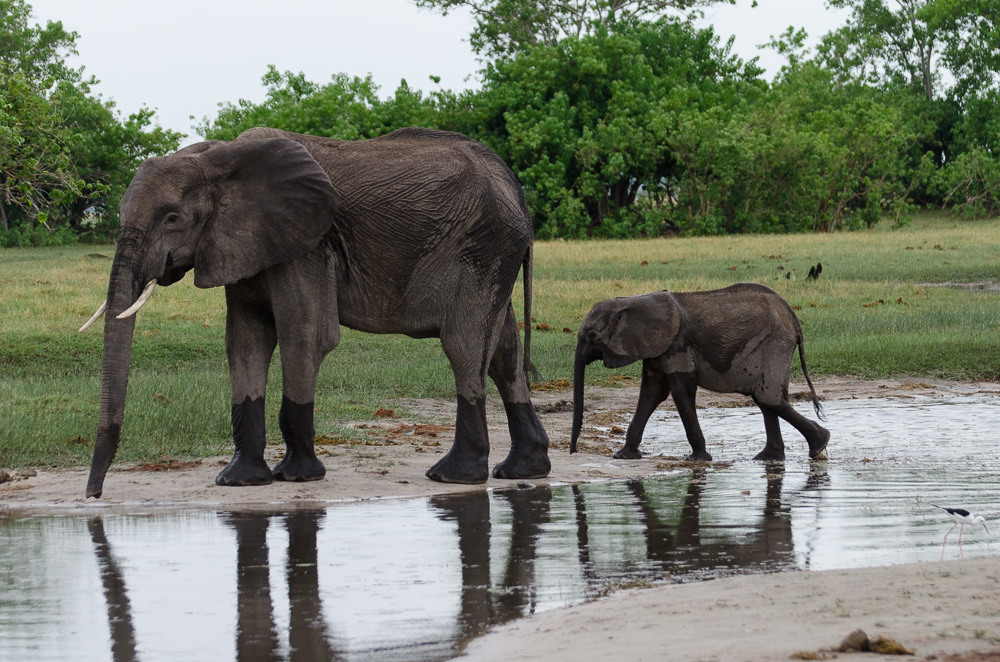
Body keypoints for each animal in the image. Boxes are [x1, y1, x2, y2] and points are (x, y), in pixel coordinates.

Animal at [82, 127, 552, 498]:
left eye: (172, 218)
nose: (93, 495)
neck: (220, 158)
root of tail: (514, 188)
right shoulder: (243, 246)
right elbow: (245, 342)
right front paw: (238, 481)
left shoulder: (306, 247)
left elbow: (305, 334)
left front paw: (297, 477)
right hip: (493, 255)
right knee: (503, 352)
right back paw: (522, 470)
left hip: (482, 250)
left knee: (465, 347)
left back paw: (452, 476)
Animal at [572, 284, 828, 462]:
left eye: (592, 336)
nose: (573, 451)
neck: (632, 300)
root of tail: (795, 321)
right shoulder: (658, 347)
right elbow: (652, 392)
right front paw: (622, 456)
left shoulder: (677, 344)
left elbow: (680, 389)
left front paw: (697, 460)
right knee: (767, 398)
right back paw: (770, 457)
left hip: (774, 343)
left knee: (767, 397)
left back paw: (820, 446)